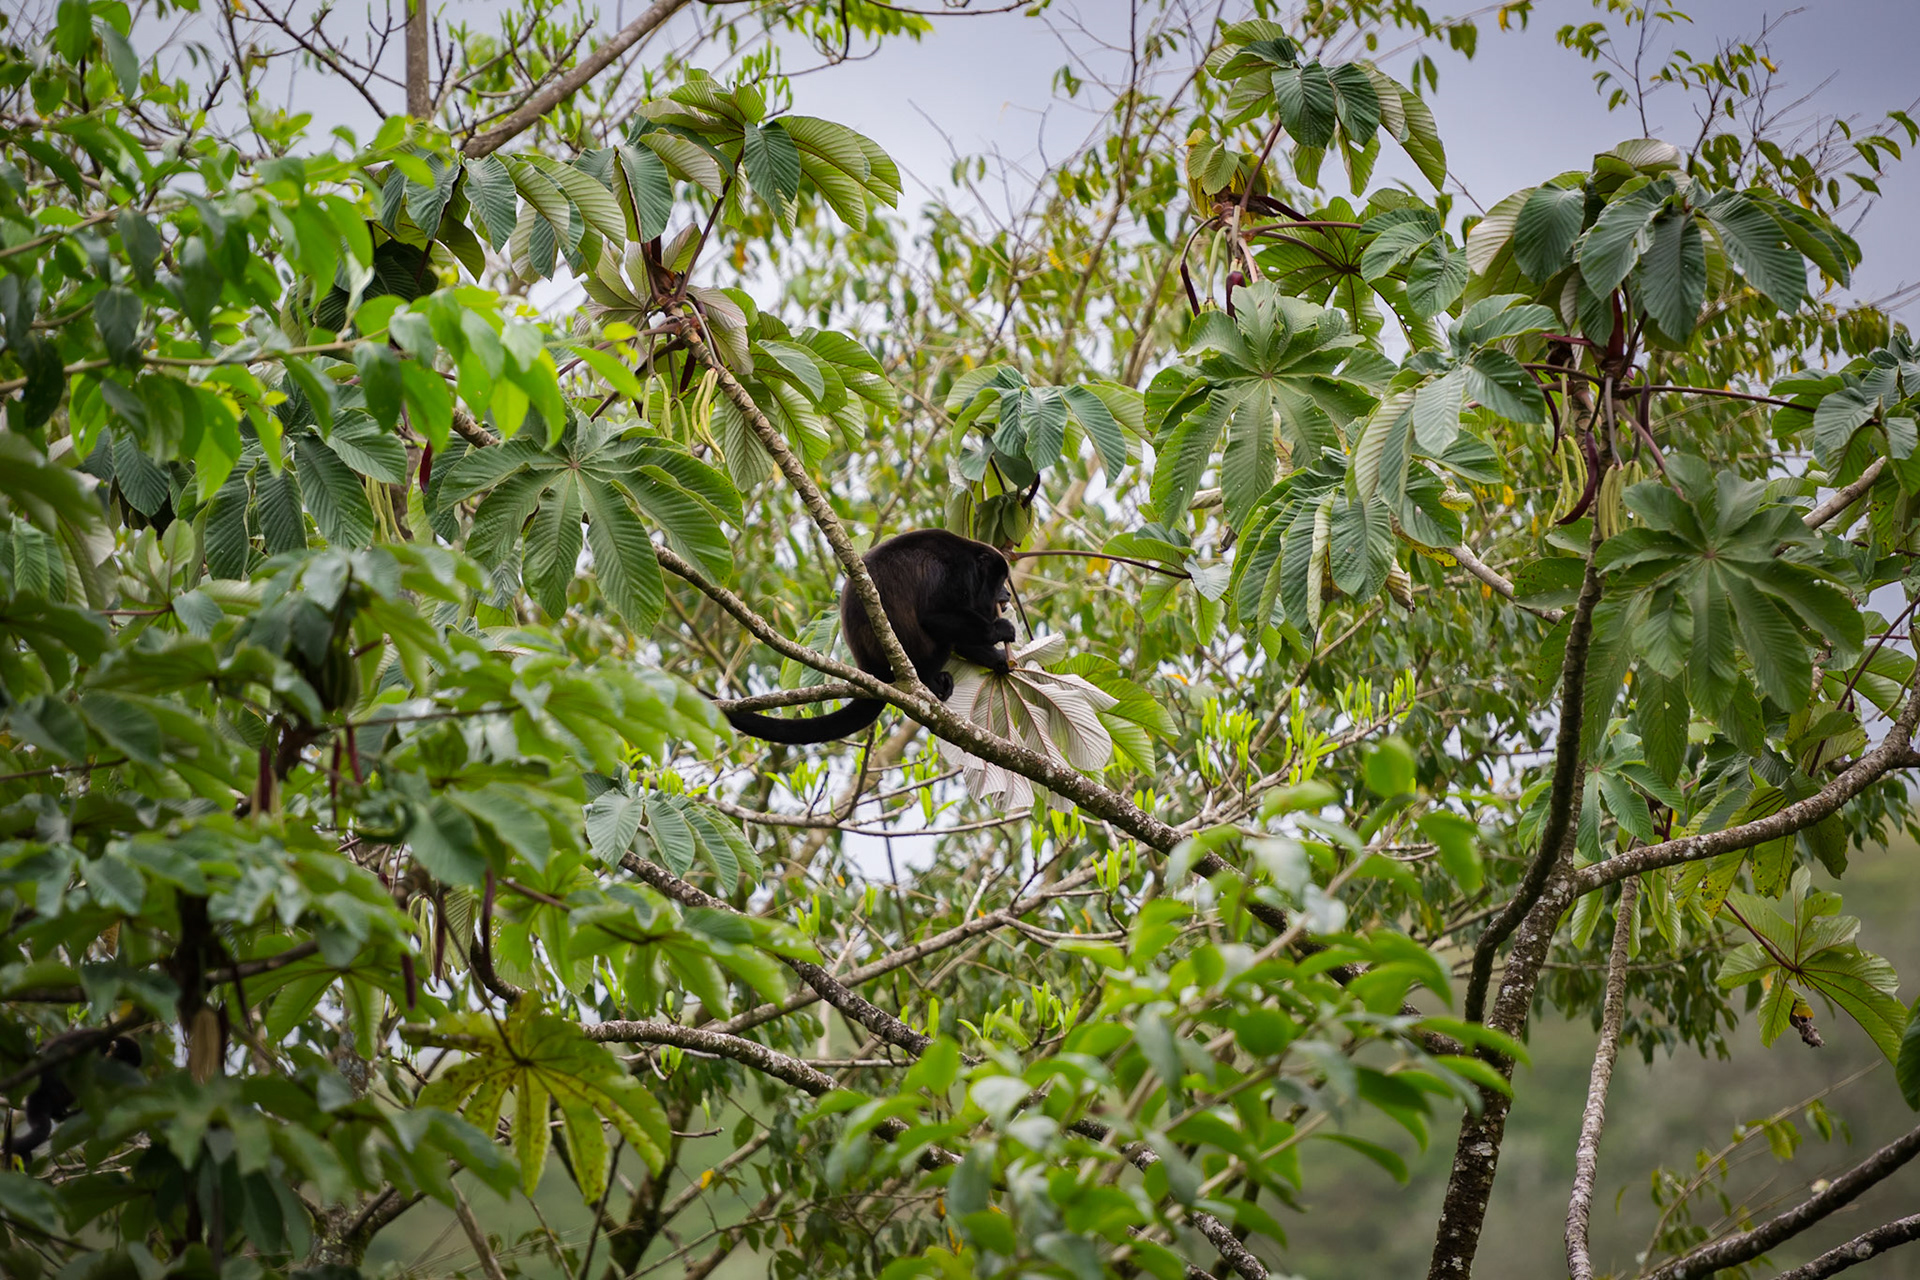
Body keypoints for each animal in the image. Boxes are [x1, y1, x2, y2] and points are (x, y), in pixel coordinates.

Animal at [724, 529, 1017, 745]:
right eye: (1000, 579)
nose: (1007, 593)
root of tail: (871, 669)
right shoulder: (958, 573)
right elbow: (934, 616)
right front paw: (1000, 630)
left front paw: (1000, 660)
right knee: (939, 640)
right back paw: (929, 682)